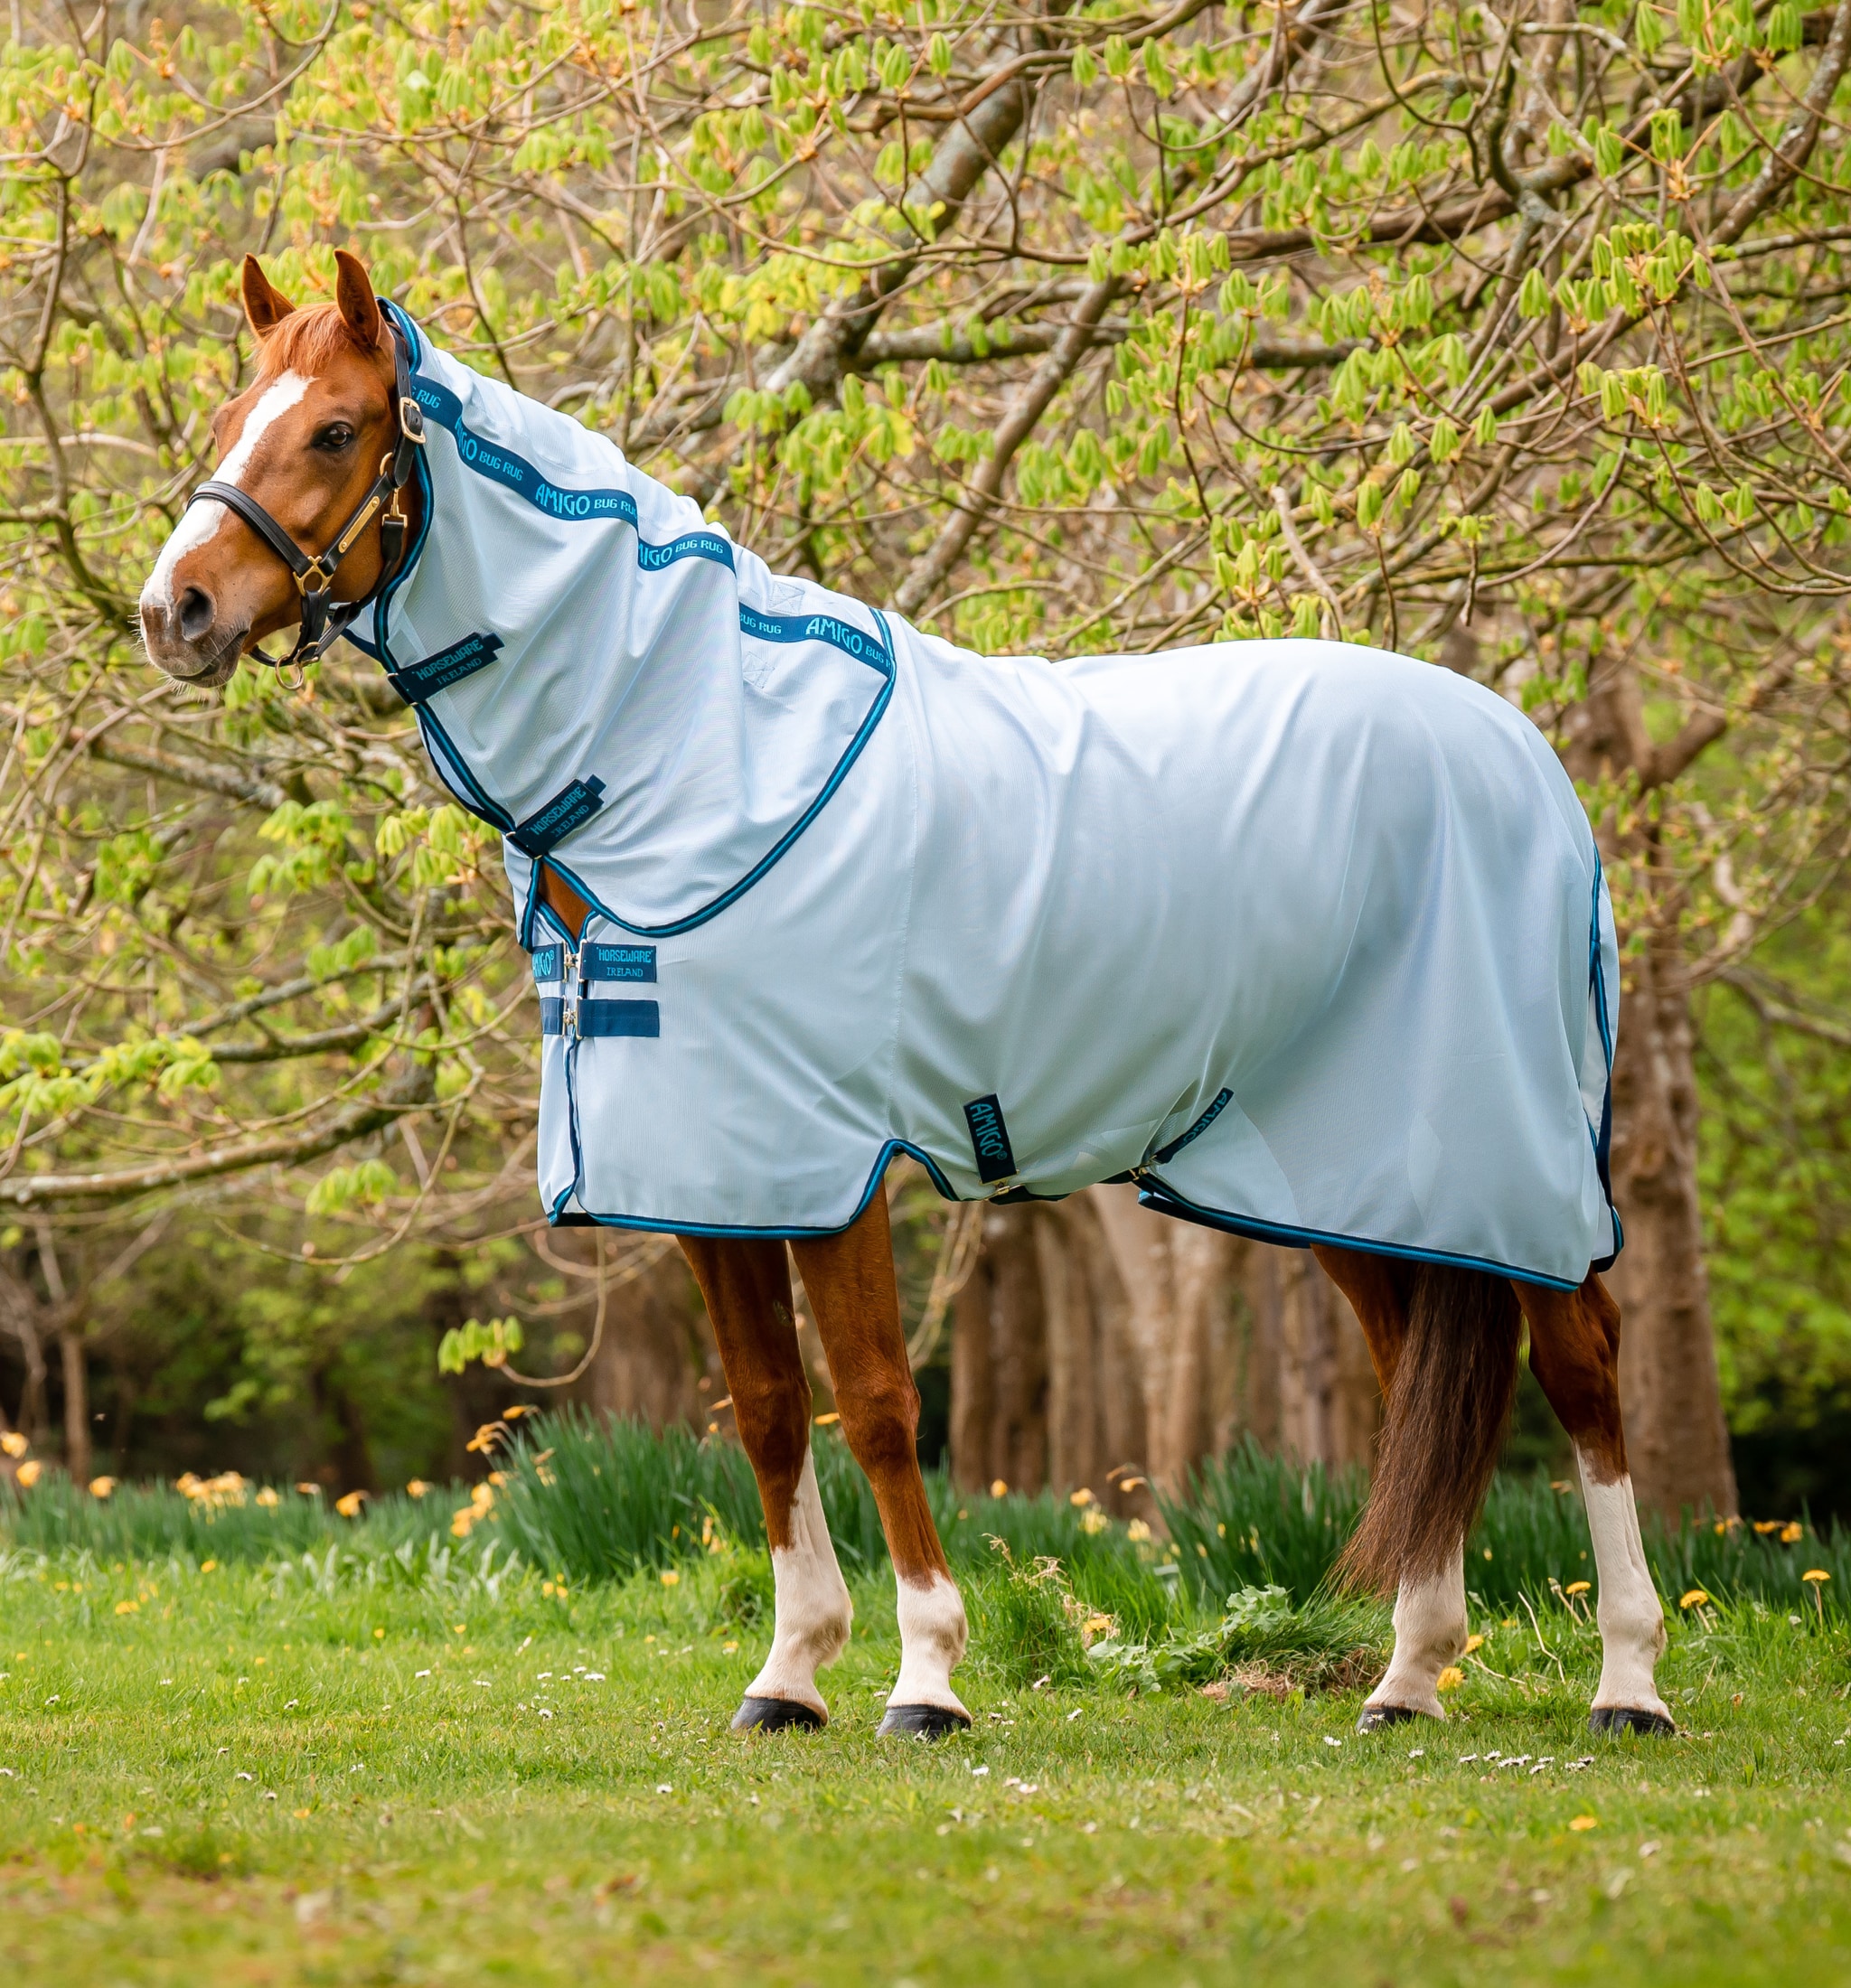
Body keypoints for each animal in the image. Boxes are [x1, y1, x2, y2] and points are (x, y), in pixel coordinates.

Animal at [141, 248, 1677, 1741]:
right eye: (230, 418)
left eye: (336, 430)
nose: (176, 611)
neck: (701, 754)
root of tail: (1524, 759)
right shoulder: (709, 1173)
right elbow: (769, 1409)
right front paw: (789, 1676)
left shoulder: (834, 1162)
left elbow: (877, 1403)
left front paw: (925, 1679)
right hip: (1348, 1168)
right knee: (1423, 1374)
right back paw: (1407, 1679)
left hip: (1507, 1155)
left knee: (1584, 1364)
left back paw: (1628, 1684)